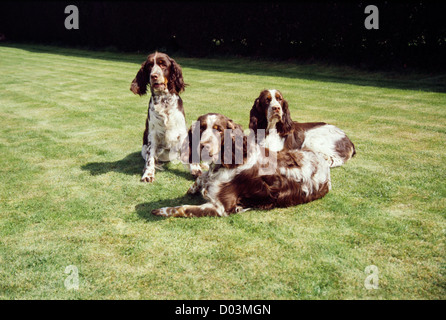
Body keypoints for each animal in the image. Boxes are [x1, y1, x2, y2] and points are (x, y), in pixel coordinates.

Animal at [131, 52, 200, 182]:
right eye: (149, 66)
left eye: (163, 65)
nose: (153, 76)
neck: (164, 100)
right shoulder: (152, 135)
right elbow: (150, 158)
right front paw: (148, 174)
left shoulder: (182, 133)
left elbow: (188, 154)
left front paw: (196, 169)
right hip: (143, 149)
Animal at [153, 113, 332, 218]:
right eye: (201, 128)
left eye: (219, 129)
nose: (203, 146)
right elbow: (200, 178)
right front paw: (194, 187)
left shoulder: (221, 207)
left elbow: (183, 208)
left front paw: (162, 210)